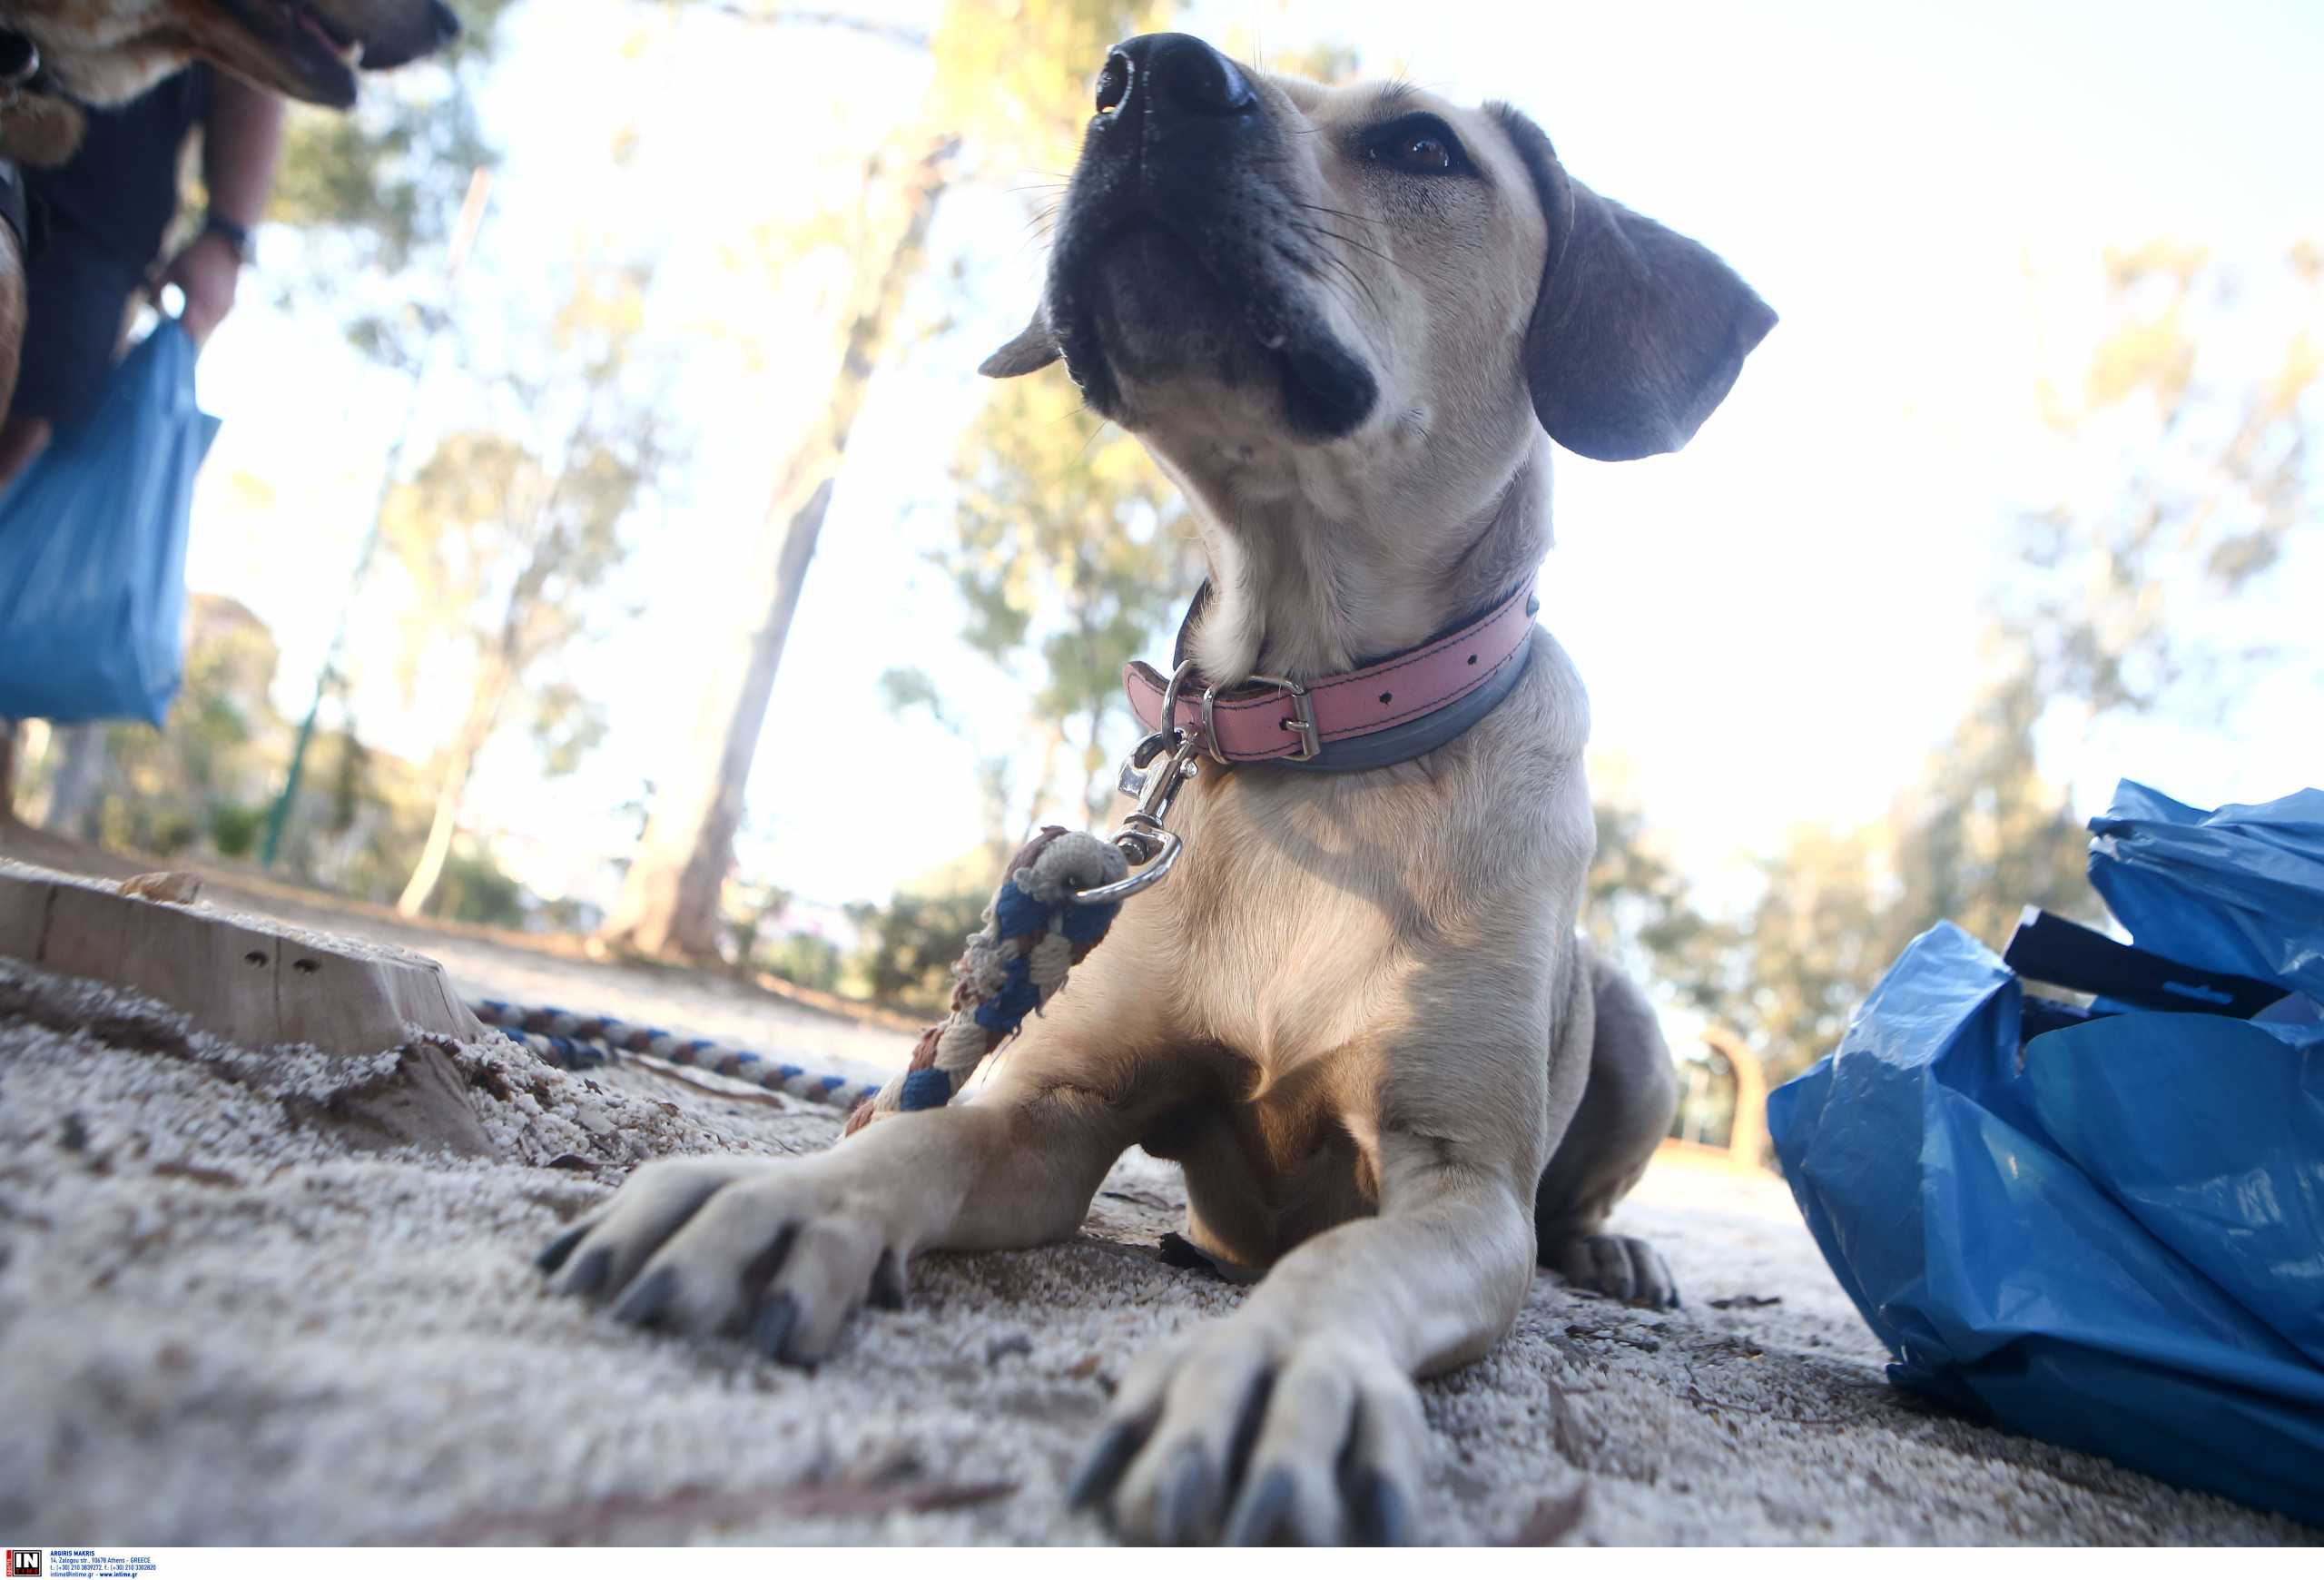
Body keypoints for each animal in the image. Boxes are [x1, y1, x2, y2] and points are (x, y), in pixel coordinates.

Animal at [548, 30, 1775, 1552]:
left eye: (1425, 148)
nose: (1145, 75)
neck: (1317, 734)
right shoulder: (1061, 1108)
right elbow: (918, 1145)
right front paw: (781, 1197)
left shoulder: (1458, 1187)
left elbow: (1346, 1270)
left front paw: (1274, 1370)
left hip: (1639, 1029)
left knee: (1578, 1194)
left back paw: (1614, 1248)